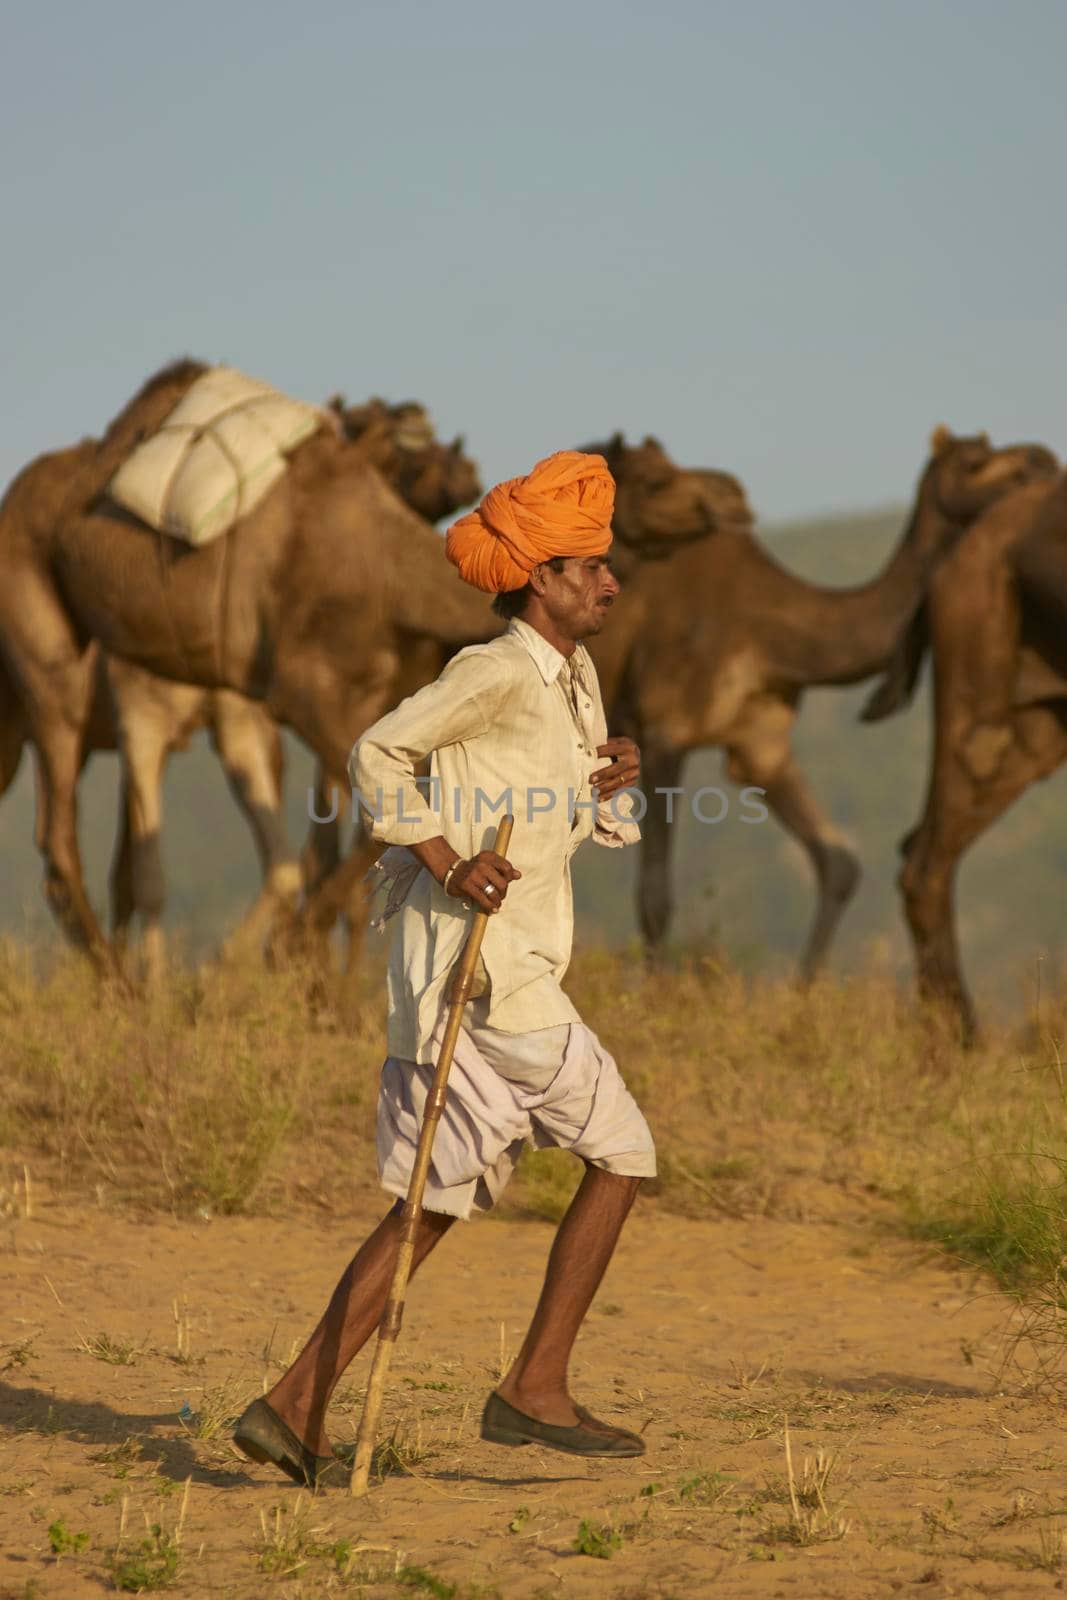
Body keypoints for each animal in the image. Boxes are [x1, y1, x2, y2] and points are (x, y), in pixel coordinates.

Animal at [2, 366, 726, 972]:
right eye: (653, 480)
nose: (725, 501)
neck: (388, 573)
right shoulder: (306, 693)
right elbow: (367, 817)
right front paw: (287, 956)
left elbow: (350, 836)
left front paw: (302, 970)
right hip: (48, 653)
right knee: (59, 833)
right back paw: (124, 987)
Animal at [585, 425, 1062, 972]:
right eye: (974, 462)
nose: (1043, 460)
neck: (770, 631)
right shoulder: (665, 731)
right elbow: (655, 895)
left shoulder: (761, 745)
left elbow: (840, 865)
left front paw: (803, 988)